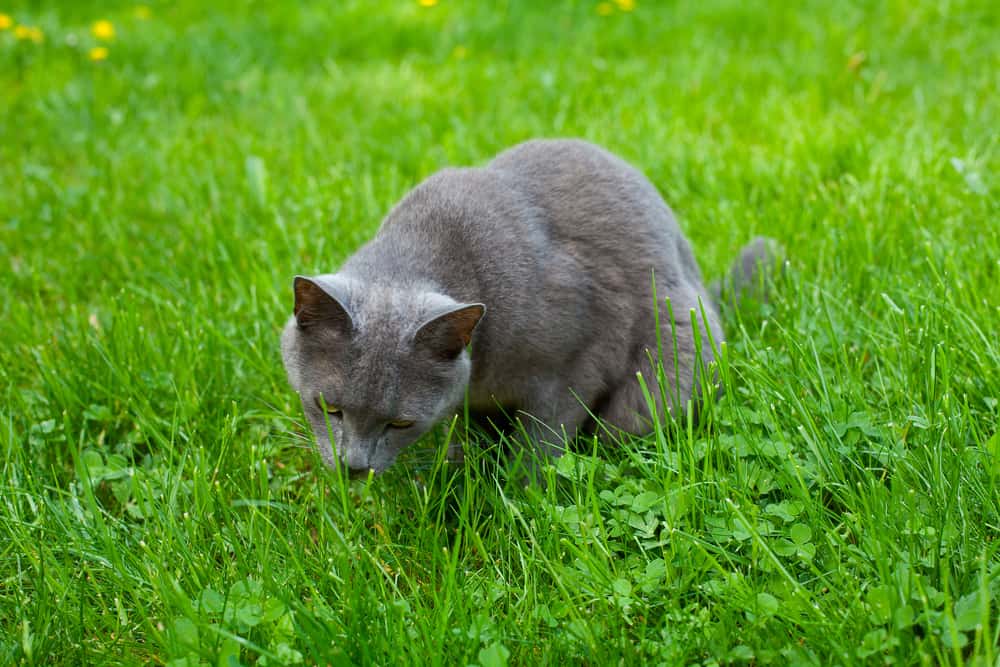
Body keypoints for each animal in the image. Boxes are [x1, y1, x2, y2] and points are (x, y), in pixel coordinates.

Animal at [280, 138, 772, 478]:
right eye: (328, 407)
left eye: (400, 423)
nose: (353, 467)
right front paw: (458, 469)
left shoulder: (578, 364)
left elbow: (542, 441)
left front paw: (520, 495)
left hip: (668, 363)